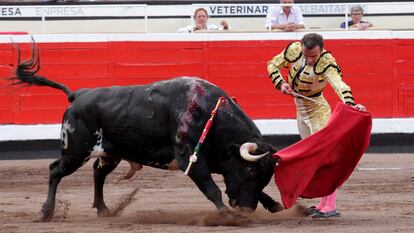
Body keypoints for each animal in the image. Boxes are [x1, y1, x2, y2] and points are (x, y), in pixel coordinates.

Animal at [13, 42, 284, 222]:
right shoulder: (190, 158)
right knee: (55, 170)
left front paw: (274, 205)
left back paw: (104, 210)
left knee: (98, 173)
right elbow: (211, 187)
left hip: (110, 153)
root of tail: (78, 95)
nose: (246, 210)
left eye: (265, 176)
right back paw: (46, 213)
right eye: (250, 171)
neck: (210, 113)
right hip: (76, 151)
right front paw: (227, 215)